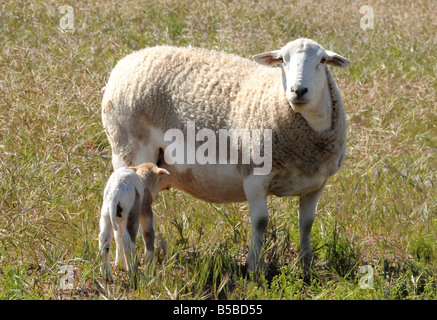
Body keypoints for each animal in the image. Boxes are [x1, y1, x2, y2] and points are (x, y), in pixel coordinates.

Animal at [100, 37, 350, 272]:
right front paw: (255, 266)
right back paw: (124, 263)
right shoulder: (254, 177)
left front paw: (305, 264)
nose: (298, 91)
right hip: (129, 152)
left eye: (322, 61)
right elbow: (261, 221)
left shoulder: (316, 184)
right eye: (282, 60)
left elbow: (306, 222)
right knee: (124, 216)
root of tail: (127, 61)